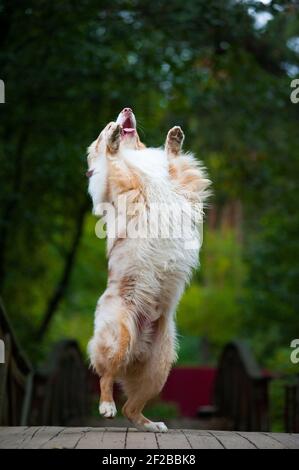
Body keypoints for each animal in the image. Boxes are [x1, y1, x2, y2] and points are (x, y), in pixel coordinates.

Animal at [85, 108, 210, 432]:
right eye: (106, 125)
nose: (126, 110)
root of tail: (137, 346)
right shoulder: (122, 185)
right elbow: (115, 162)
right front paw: (113, 144)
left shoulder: (181, 183)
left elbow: (173, 160)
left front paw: (174, 138)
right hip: (120, 336)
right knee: (105, 377)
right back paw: (106, 406)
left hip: (161, 367)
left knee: (131, 407)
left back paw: (151, 424)